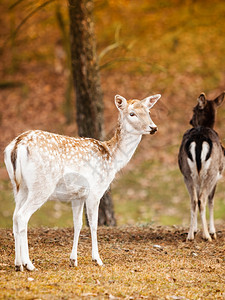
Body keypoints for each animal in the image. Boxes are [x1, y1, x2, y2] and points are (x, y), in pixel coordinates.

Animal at [4, 94, 161, 272]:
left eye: (148, 111)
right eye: (132, 113)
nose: (153, 127)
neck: (112, 158)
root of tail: (17, 145)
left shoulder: (77, 196)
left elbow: (78, 224)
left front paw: (73, 260)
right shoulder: (96, 191)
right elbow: (93, 224)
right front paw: (97, 259)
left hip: (18, 186)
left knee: (15, 216)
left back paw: (18, 264)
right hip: (41, 185)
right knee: (22, 216)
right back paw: (28, 264)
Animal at [178, 91, 224, 241]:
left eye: (194, 110)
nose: (190, 121)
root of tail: (198, 140)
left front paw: (195, 229)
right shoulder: (217, 177)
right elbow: (211, 200)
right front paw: (212, 232)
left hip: (187, 173)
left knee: (194, 200)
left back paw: (190, 236)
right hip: (211, 172)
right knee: (202, 199)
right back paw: (207, 236)